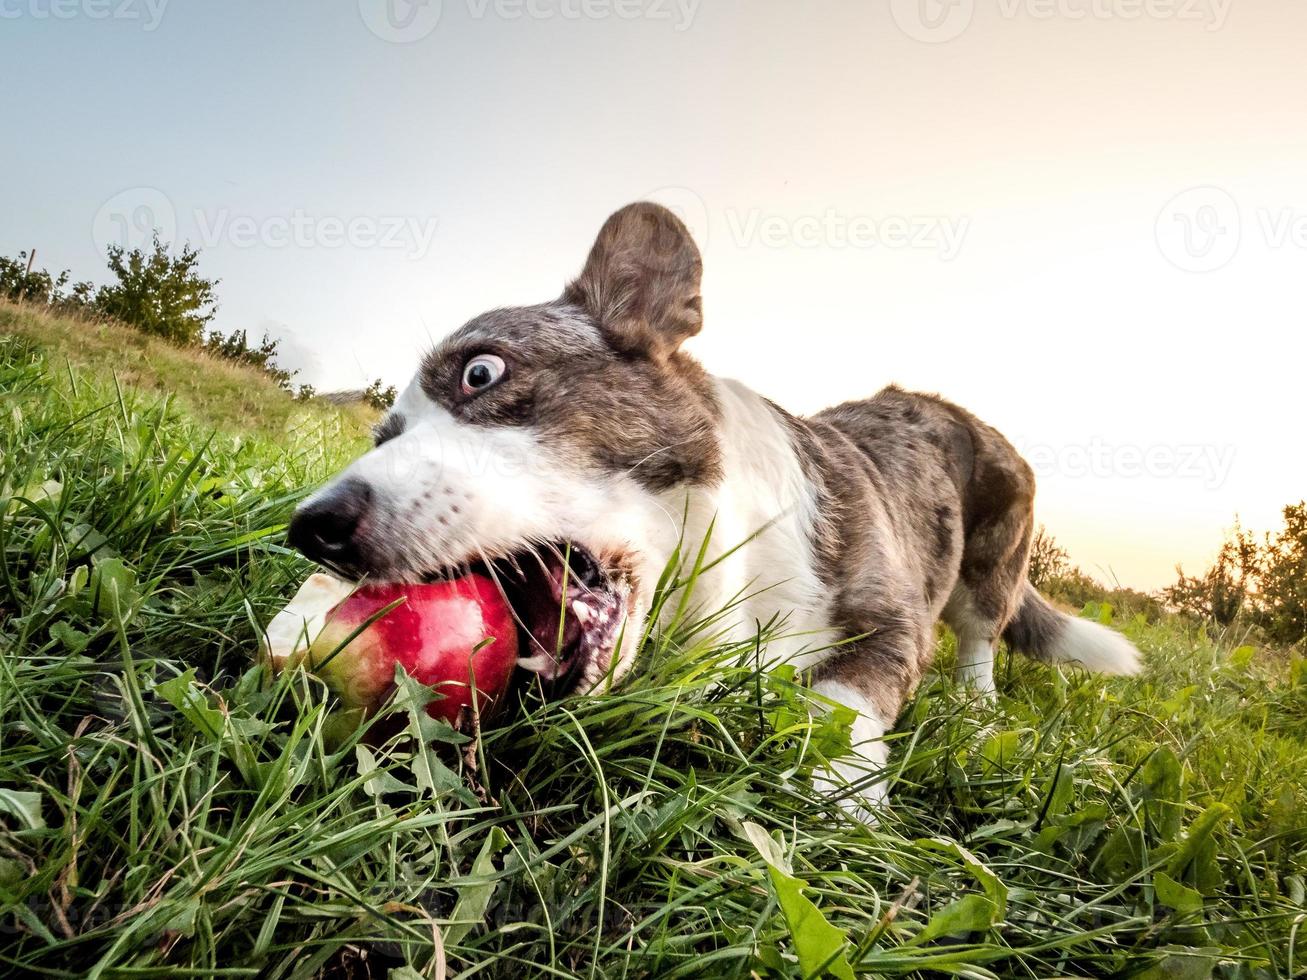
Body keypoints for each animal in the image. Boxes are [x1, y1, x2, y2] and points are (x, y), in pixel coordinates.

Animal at [283, 199, 1134, 815]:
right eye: (383, 433)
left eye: (481, 373)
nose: (312, 527)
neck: (727, 580)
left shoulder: (892, 625)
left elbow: (839, 700)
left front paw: (839, 798)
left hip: (991, 564)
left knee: (980, 640)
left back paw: (976, 708)